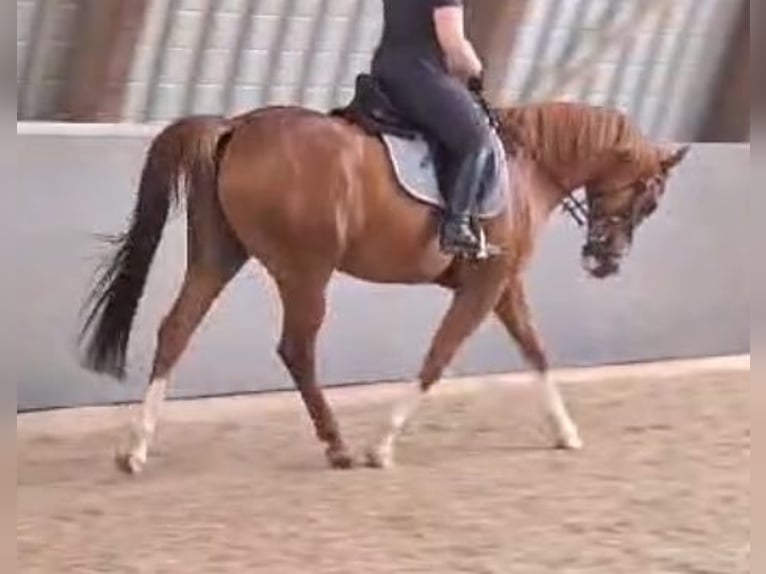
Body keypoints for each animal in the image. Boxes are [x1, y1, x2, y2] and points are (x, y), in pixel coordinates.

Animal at [78, 100, 688, 476]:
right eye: (651, 199)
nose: (604, 261)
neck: (525, 170)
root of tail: (236, 126)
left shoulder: (504, 283)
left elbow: (536, 351)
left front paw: (566, 432)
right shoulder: (485, 283)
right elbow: (439, 357)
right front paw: (382, 445)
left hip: (219, 255)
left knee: (176, 329)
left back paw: (135, 449)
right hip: (306, 270)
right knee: (296, 348)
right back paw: (339, 446)